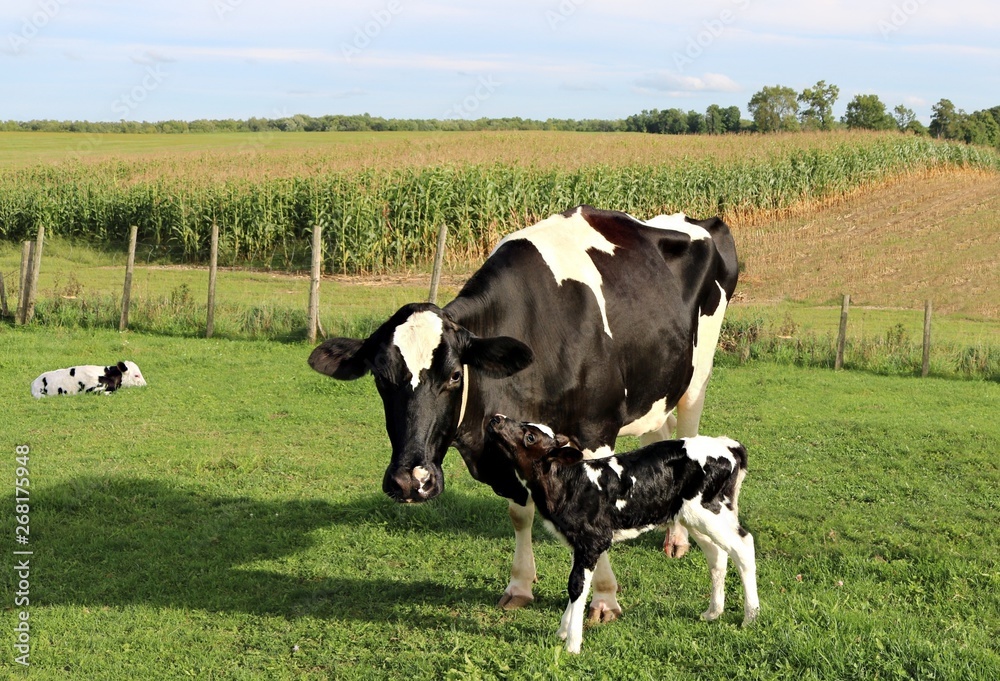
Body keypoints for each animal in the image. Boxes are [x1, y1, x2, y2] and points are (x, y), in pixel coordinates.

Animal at [308, 205, 740, 620]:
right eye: (380, 377)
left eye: (453, 375)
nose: (410, 481)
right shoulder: (506, 439)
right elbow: (520, 513)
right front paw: (519, 586)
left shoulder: (596, 430)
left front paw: (604, 598)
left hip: (696, 375)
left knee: (687, 431)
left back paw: (677, 538)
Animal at [484, 414, 756, 652]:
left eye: (530, 437)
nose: (496, 418)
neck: (569, 483)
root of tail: (728, 445)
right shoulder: (578, 543)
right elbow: (576, 583)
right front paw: (562, 631)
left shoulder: (592, 541)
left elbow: (576, 586)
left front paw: (572, 644)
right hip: (692, 515)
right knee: (718, 554)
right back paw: (713, 612)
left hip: (709, 510)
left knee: (743, 545)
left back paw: (750, 617)